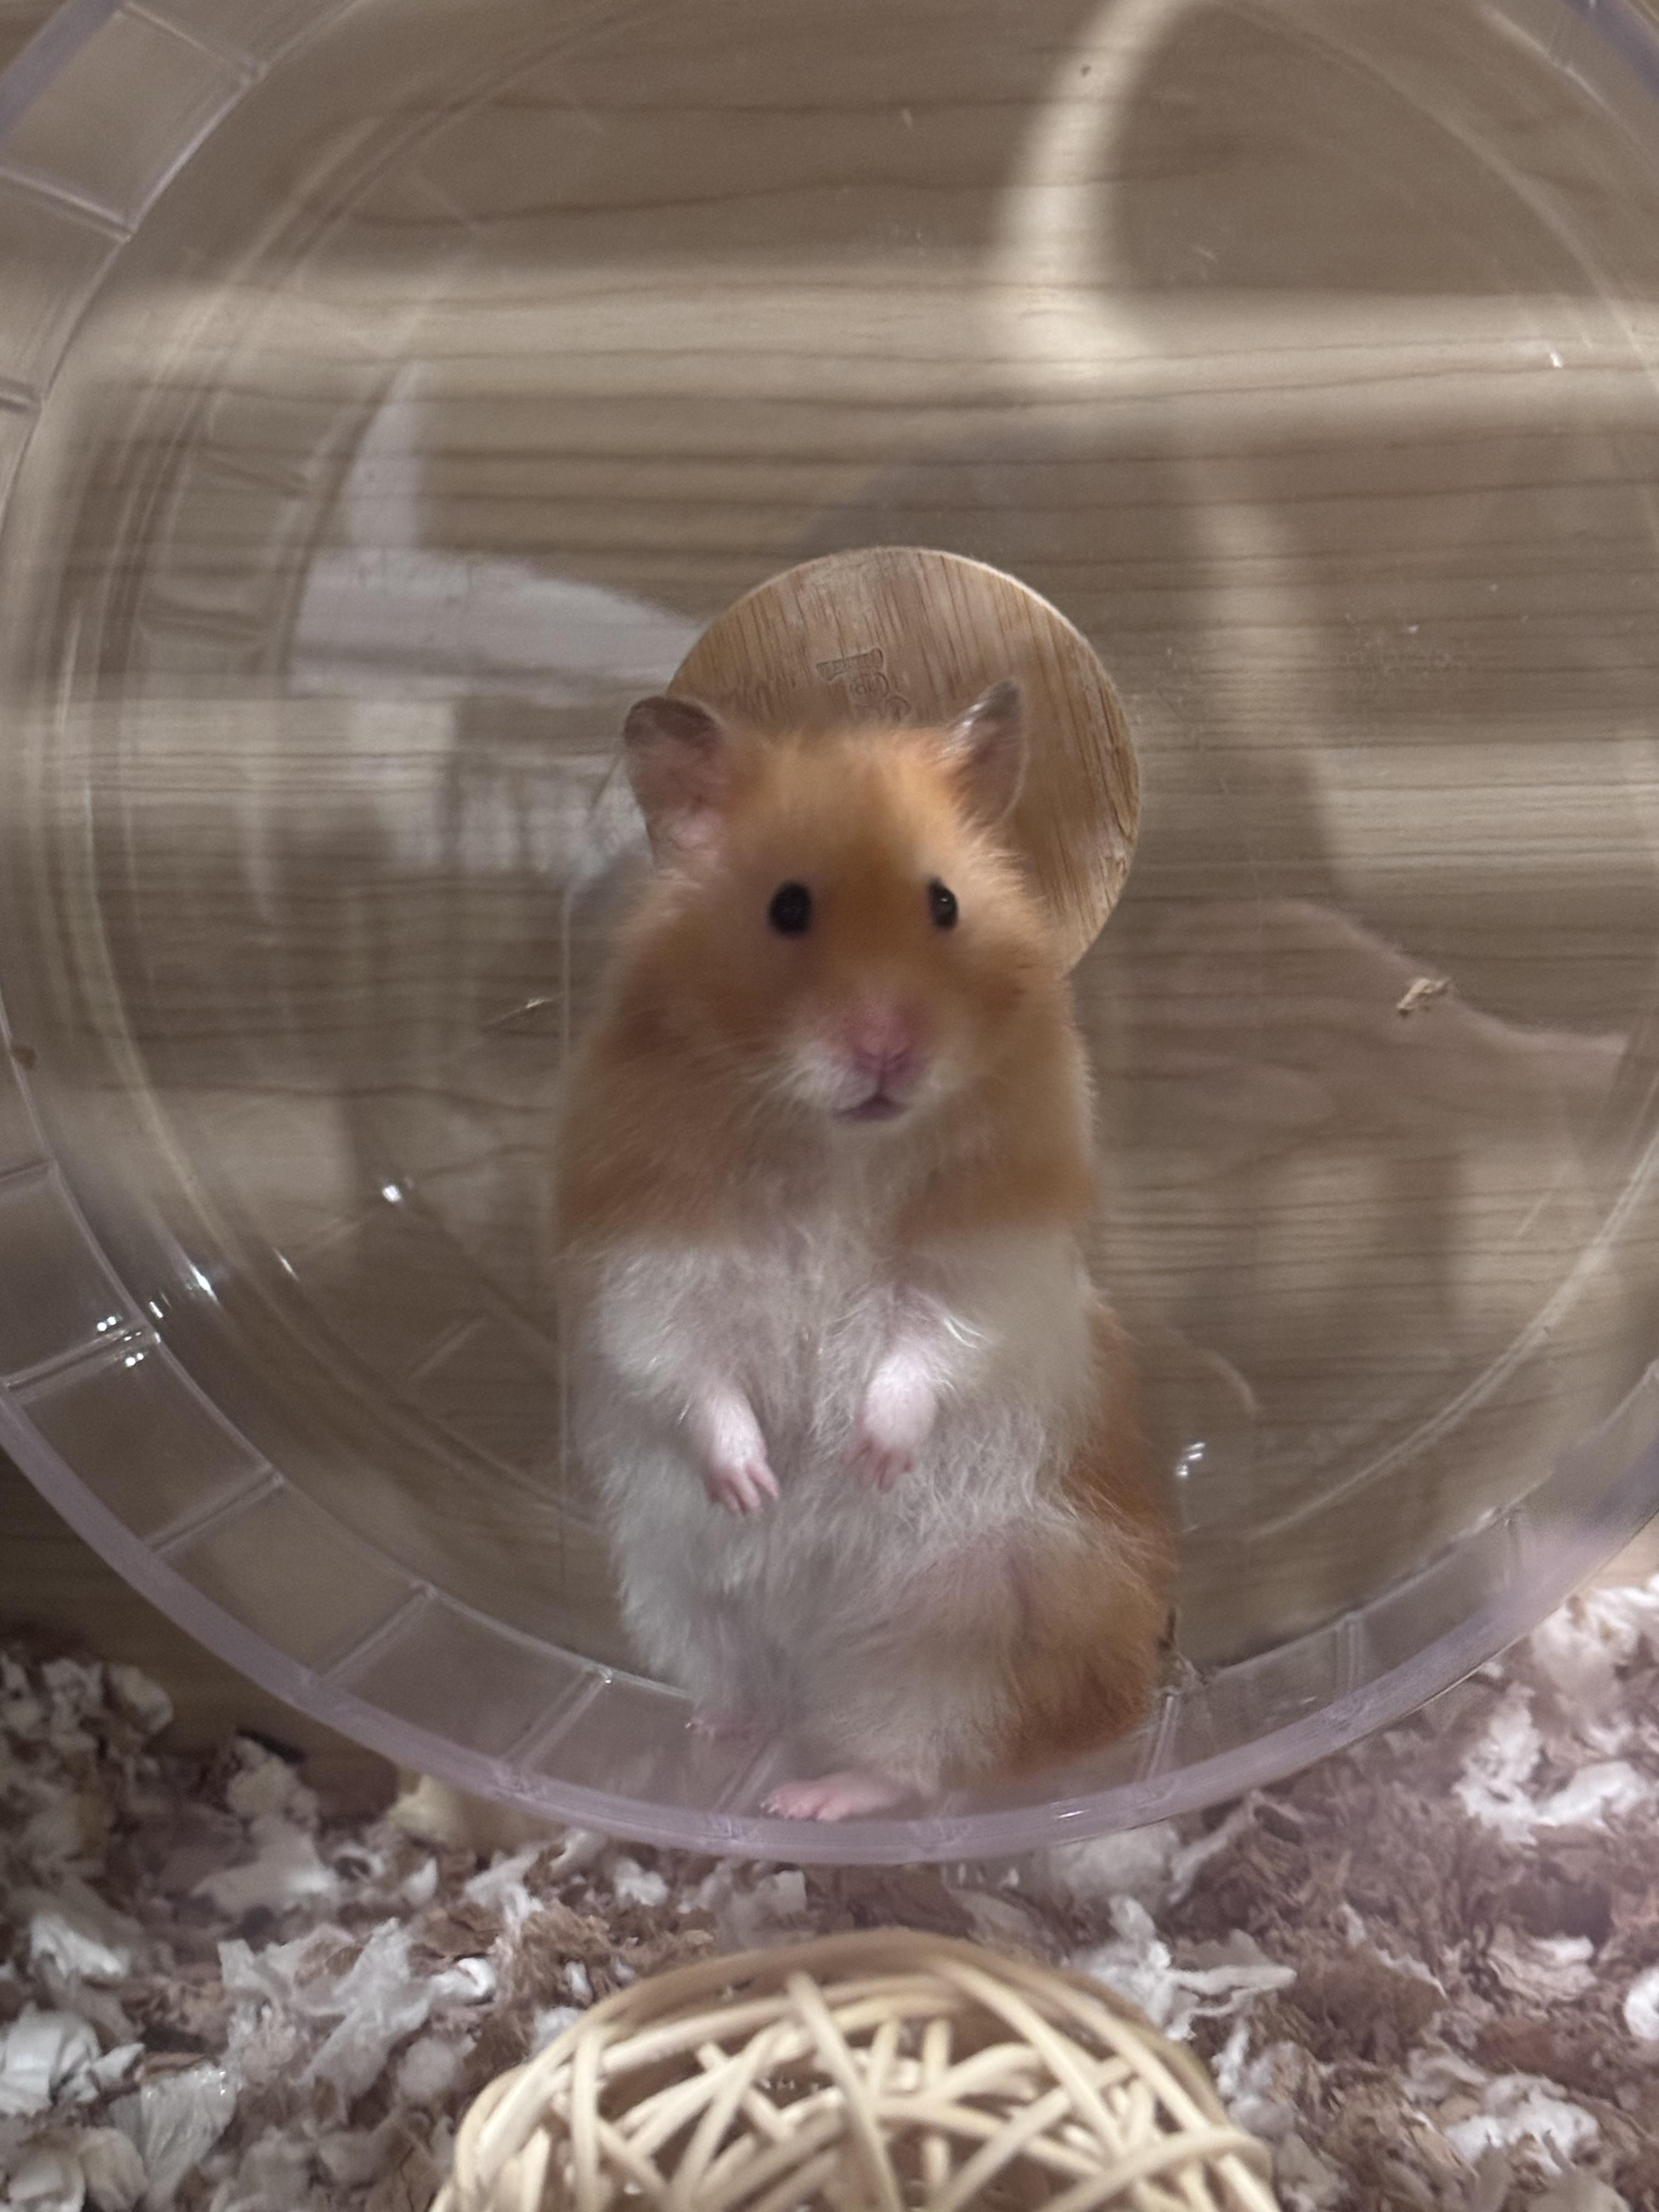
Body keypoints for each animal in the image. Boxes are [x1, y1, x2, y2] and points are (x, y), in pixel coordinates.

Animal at [553, 678, 1173, 1821]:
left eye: (945, 906)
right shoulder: (648, 1262)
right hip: (675, 1598)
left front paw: (865, 1456)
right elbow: (691, 1371)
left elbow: (924, 1350)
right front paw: (756, 1486)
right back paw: (721, 1740)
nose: (887, 1048)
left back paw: (807, 1799)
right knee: (757, 1692)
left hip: (964, 1641)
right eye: (786, 907)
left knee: (910, 1759)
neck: (832, 1148)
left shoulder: (984, 1262)